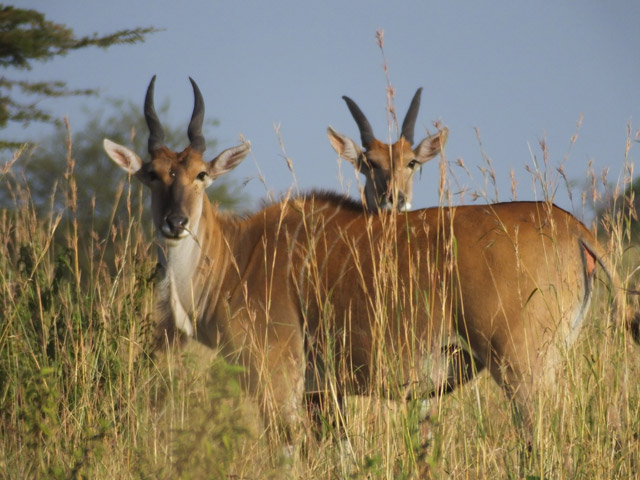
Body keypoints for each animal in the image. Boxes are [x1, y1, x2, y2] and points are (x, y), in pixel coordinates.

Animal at [104, 77, 636, 448]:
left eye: (201, 174)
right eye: (151, 176)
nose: (174, 222)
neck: (240, 252)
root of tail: (572, 226)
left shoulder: (276, 384)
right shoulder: (322, 395)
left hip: (522, 368)